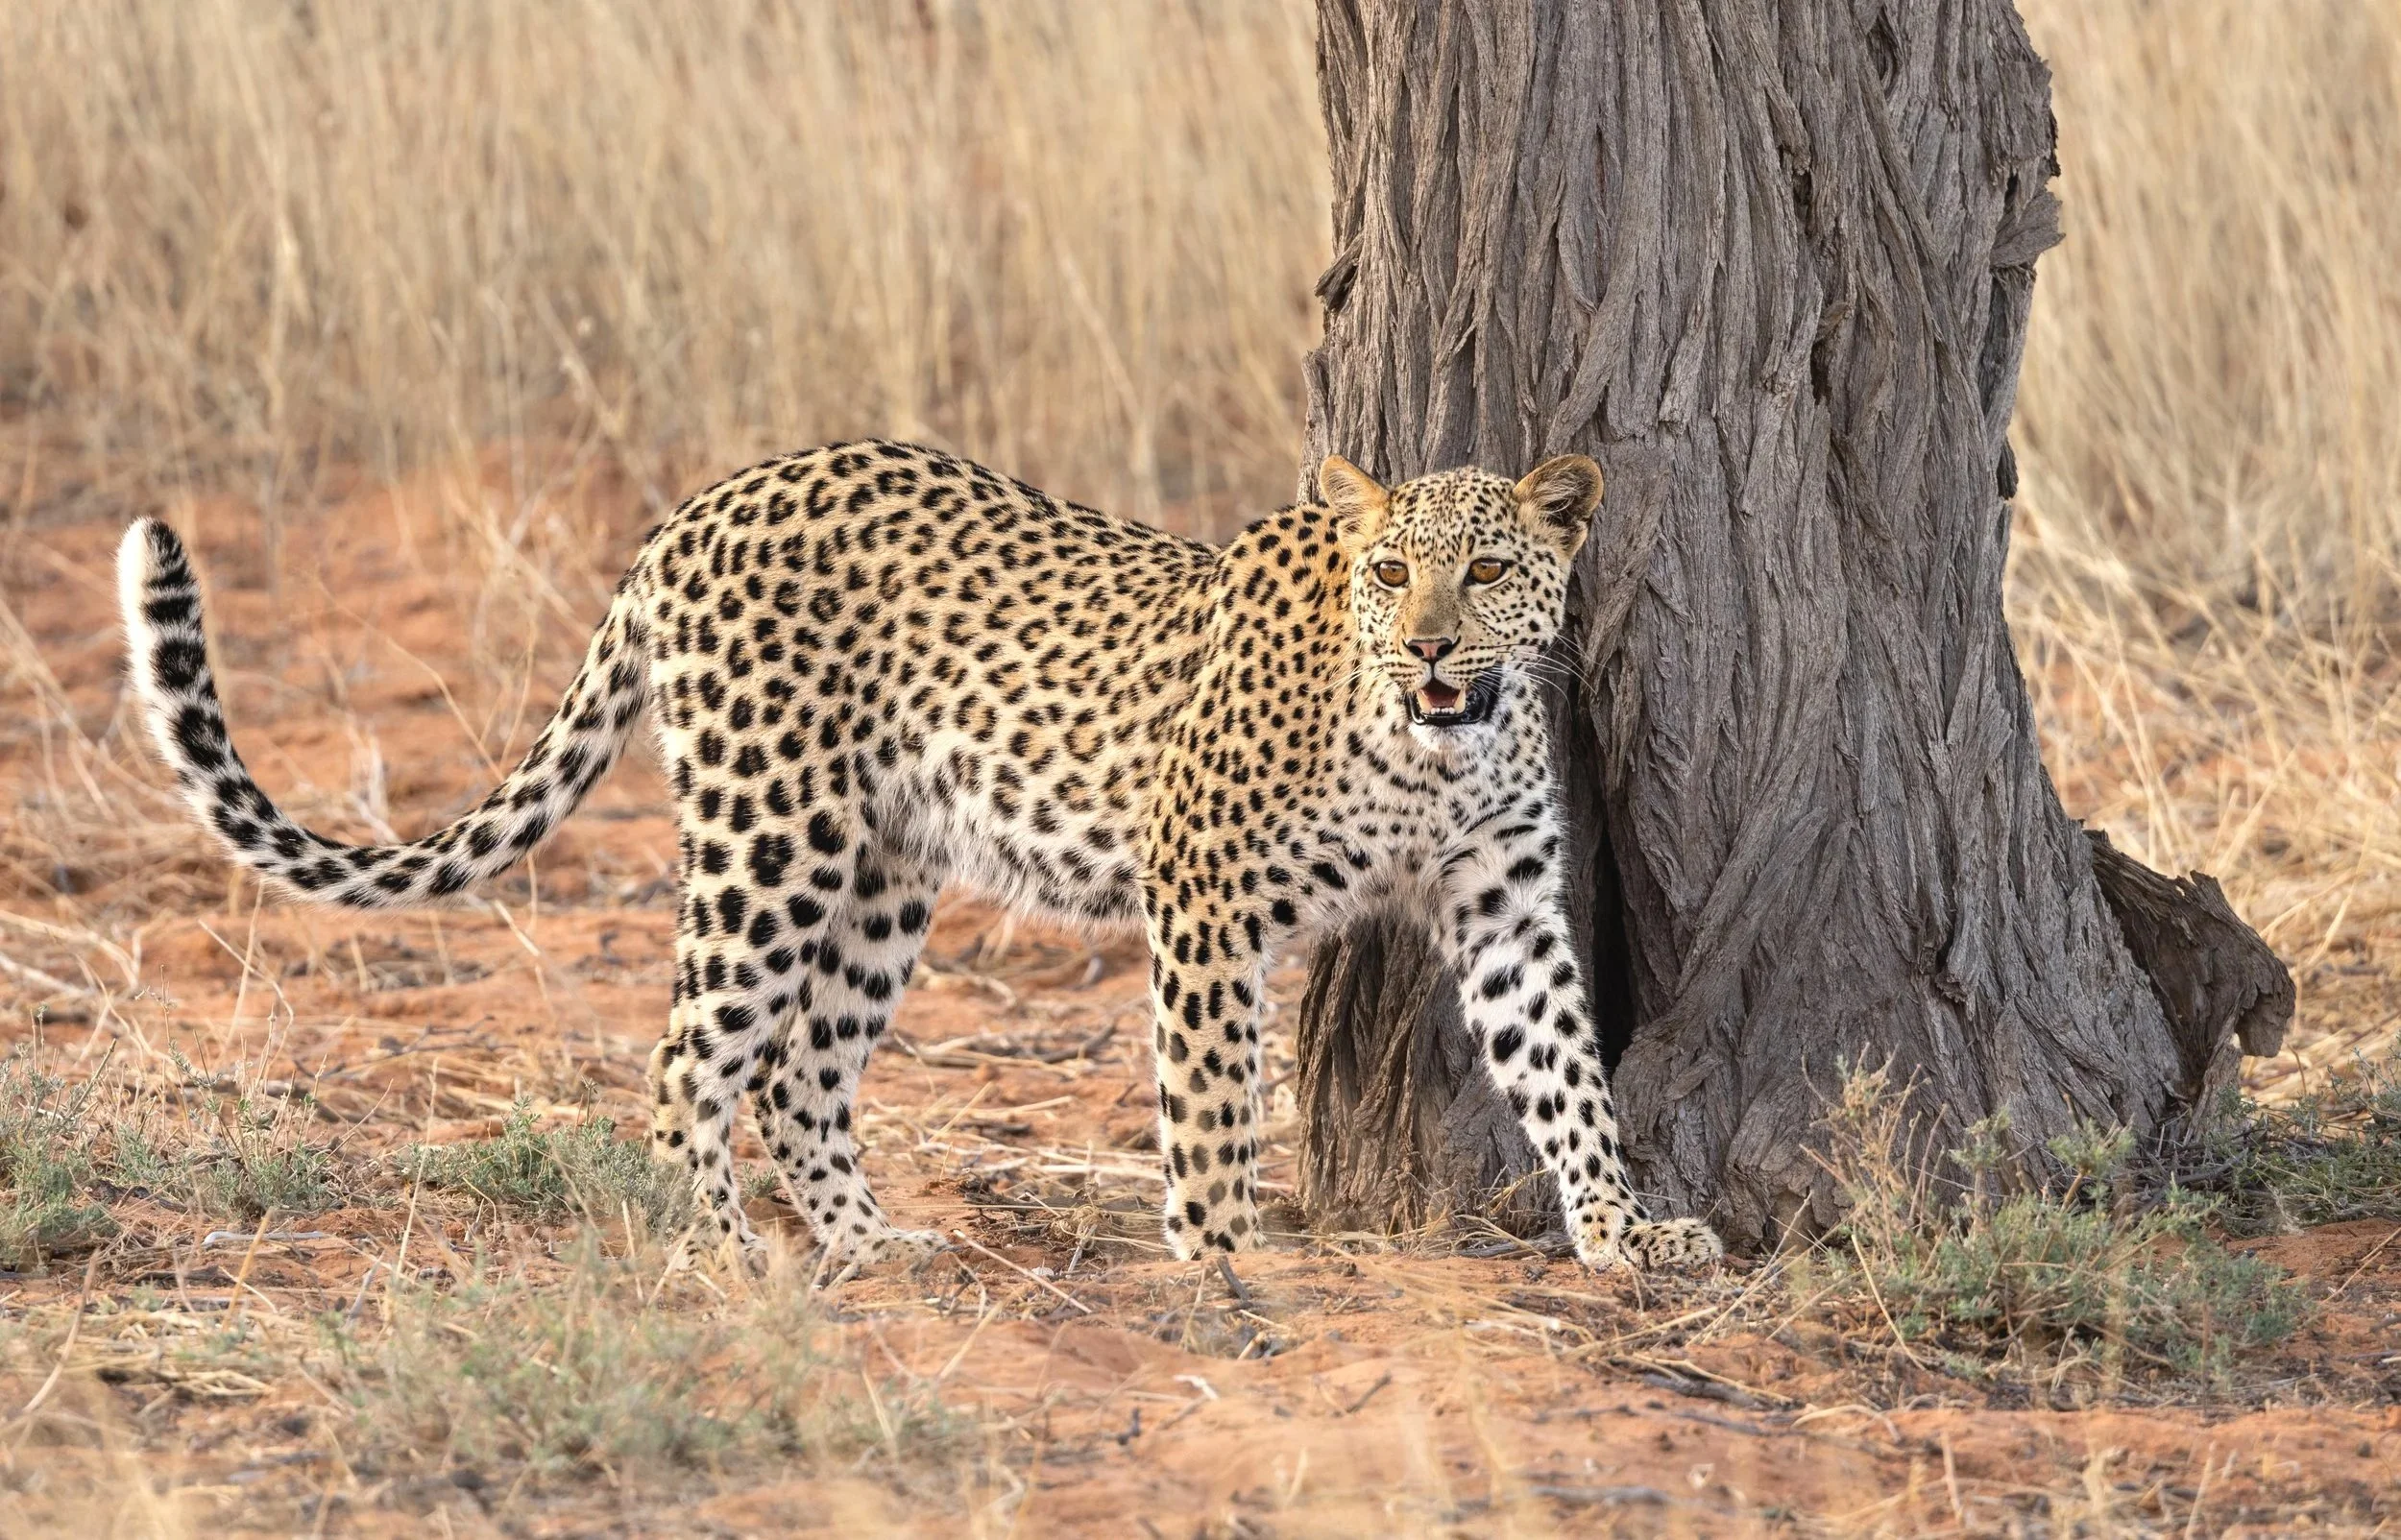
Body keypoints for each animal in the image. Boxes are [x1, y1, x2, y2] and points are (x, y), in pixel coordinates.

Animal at [117, 440, 1724, 1273]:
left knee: (796, 1073)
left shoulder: (1506, 904)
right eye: (1389, 572)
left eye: (1491, 569)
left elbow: (1566, 1072)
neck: (1432, 744)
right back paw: (725, 1255)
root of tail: (692, 511)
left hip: (883, 868)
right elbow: (1209, 1094)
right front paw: (1216, 1258)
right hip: (770, 834)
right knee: (691, 1058)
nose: (1433, 645)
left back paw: (868, 1244)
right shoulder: (1202, 892)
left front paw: (1625, 1231)